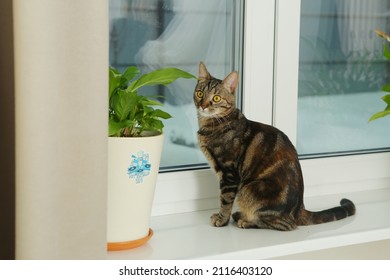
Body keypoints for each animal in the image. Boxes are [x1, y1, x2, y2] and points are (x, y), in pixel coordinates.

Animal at [193, 62, 354, 231]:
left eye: (216, 98)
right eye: (199, 93)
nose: (203, 106)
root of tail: (300, 209)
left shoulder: (229, 174)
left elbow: (225, 201)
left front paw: (222, 220)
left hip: (248, 189)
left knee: (284, 225)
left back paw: (245, 220)